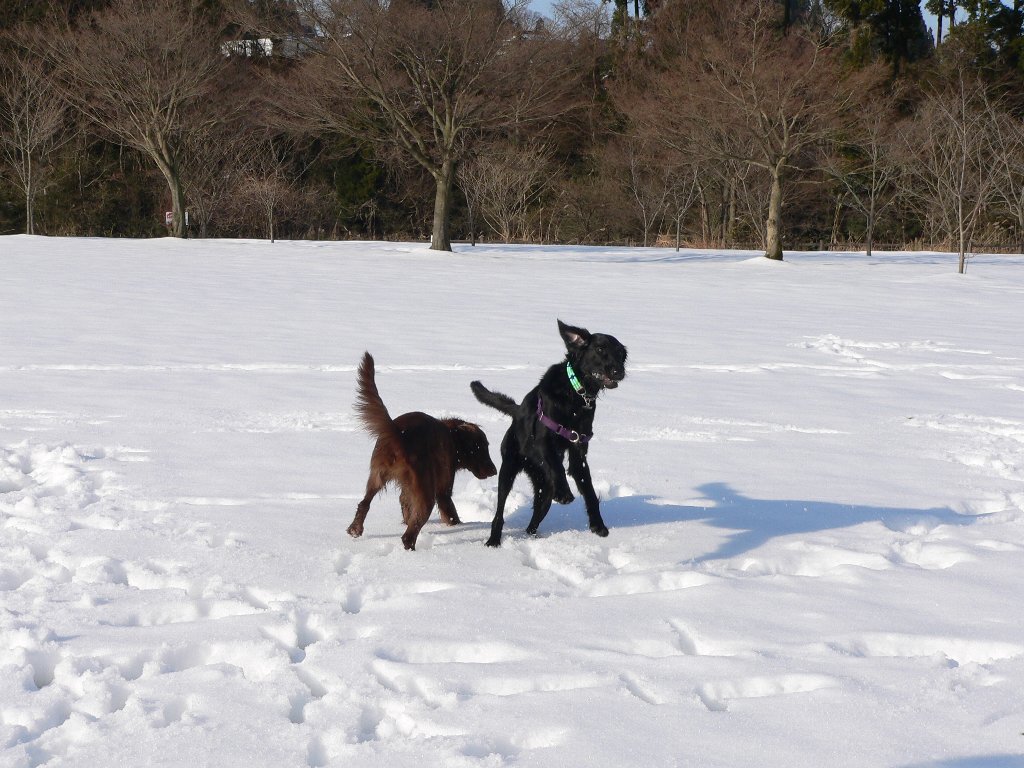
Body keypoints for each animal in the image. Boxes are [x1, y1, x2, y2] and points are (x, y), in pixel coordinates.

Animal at [347, 352, 497, 551]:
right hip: (426, 492)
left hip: (377, 477)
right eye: (481, 447)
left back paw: (355, 530)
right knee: (409, 534)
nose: (495, 471)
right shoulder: (443, 488)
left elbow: (405, 505)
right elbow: (450, 513)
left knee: (364, 503)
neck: (452, 437)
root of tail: (398, 433)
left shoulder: (406, 490)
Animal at [470, 320, 627, 547]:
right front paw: (564, 493)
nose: (619, 371)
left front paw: (598, 525)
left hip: (543, 490)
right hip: (508, 470)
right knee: (499, 511)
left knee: (533, 521)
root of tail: (517, 411)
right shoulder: (544, 440)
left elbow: (589, 490)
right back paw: (493, 541)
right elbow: (556, 466)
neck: (576, 395)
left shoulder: (579, 450)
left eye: (621, 354)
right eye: (600, 349)